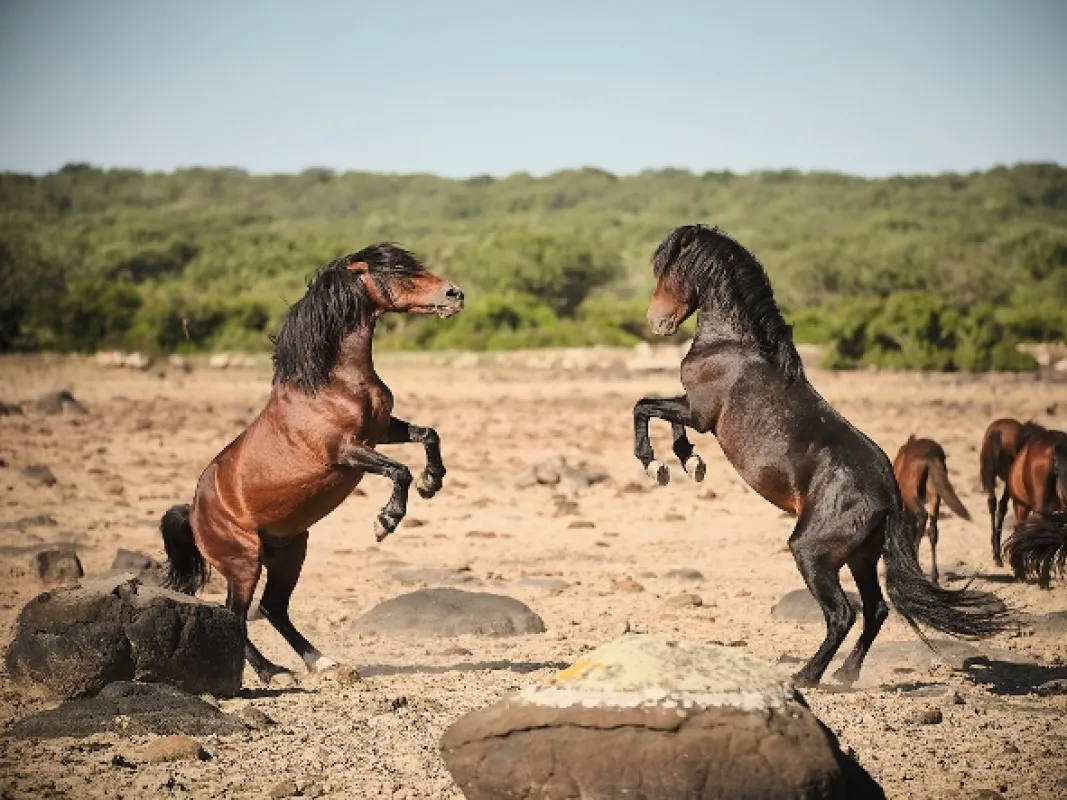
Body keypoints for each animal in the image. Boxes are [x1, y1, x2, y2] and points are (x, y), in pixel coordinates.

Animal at [160, 243, 464, 685]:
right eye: (397, 272)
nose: (454, 294)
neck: (329, 383)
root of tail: (195, 513)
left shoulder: (381, 430)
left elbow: (428, 435)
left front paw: (432, 481)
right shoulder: (346, 452)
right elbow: (398, 470)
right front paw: (385, 521)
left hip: (291, 552)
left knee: (272, 608)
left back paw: (320, 661)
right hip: (244, 562)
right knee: (235, 614)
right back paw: (272, 673)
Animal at [892, 436, 972, 585]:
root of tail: (930, 454)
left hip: (910, 492)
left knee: (922, 516)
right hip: (935, 494)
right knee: (933, 530)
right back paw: (934, 577)